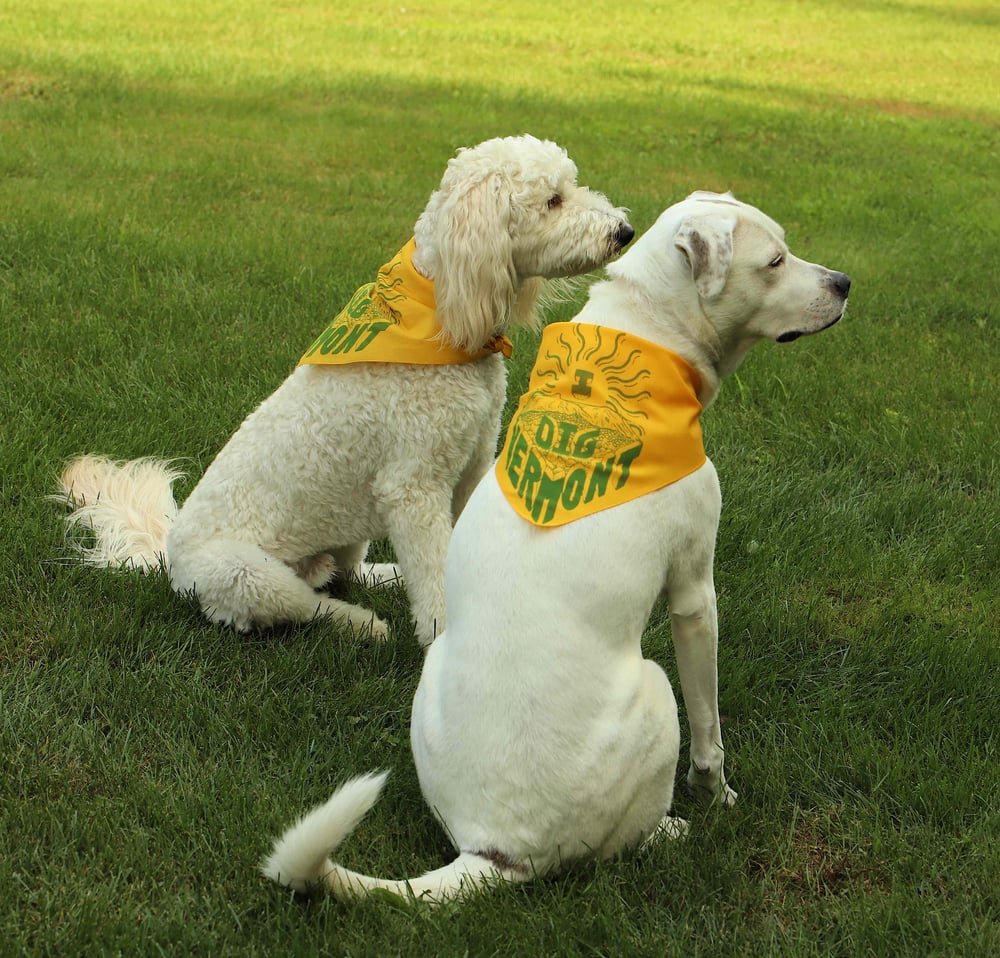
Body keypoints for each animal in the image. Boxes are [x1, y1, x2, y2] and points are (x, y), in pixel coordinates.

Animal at [54, 135, 632, 644]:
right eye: (553, 200)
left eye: (570, 185)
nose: (624, 230)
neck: (437, 312)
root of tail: (168, 555)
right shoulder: (414, 487)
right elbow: (436, 572)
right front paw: (446, 641)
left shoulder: (471, 461)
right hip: (245, 576)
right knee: (306, 603)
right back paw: (361, 625)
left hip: (349, 524)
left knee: (344, 572)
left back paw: (385, 575)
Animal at [262, 189, 848, 908]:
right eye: (774, 261)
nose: (844, 284)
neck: (647, 332)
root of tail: (496, 848)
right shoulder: (695, 594)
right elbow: (710, 728)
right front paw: (718, 796)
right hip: (654, 691)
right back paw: (670, 831)